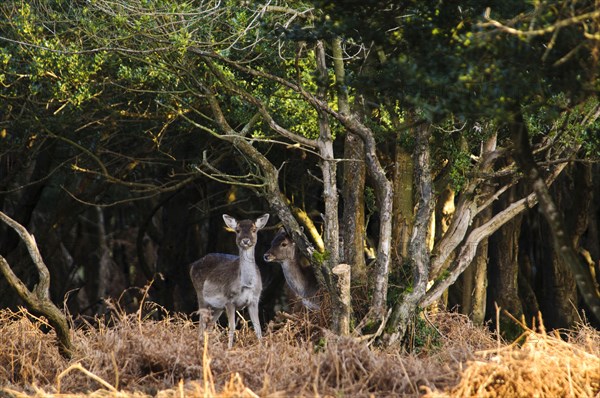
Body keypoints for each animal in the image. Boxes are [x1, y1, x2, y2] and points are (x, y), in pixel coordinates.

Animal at [190, 213, 270, 346]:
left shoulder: (254, 300)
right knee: (201, 325)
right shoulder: (229, 301)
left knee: (208, 327)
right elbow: (232, 327)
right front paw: (229, 348)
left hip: (218, 307)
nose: (245, 240)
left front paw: (262, 347)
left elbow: (258, 328)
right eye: (237, 230)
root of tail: (192, 266)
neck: (247, 284)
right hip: (200, 295)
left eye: (254, 230)